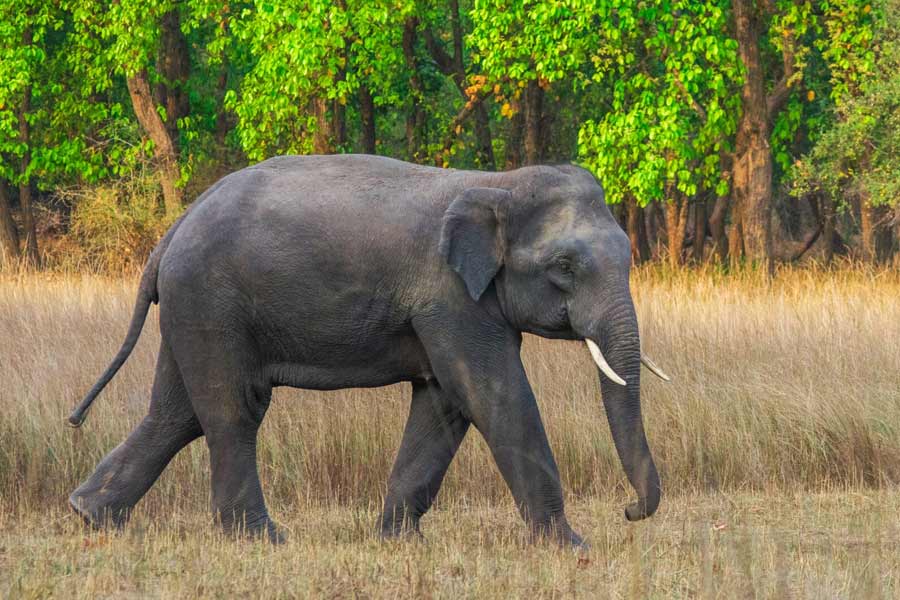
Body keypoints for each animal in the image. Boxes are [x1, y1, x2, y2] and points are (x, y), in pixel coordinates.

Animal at [67, 152, 668, 548]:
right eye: (564, 267)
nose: (629, 510)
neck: (496, 184)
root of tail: (173, 230)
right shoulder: (449, 296)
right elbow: (495, 397)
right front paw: (570, 546)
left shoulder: (447, 307)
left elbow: (444, 403)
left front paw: (398, 541)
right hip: (212, 304)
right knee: (233, 409)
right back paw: (263, 540)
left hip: (193, 309)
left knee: (176, 414)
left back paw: (91, 516)